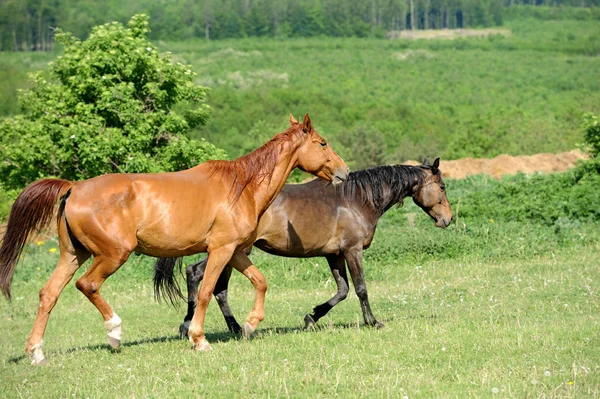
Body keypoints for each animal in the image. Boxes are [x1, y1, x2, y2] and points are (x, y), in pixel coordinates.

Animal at [0, 113, 346, 366]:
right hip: (112, 255)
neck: (242, 186)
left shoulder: (235, 251)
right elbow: (205, 292)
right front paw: (199, 339)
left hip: (74, 254)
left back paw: (37, 353)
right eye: (322, 143)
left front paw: (249, 325)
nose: (343, 172)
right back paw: (115, 332)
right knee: (88, 285)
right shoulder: (220, 251)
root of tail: (74, 187)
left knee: (49, 294)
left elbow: (260, 282)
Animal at [155, 158, 450, 336]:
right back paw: (191, 324)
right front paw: (372, 321)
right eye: (443, 186)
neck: (356, 199)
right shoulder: (352, 251)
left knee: (218, 290)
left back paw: (234, 327)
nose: (447, 219)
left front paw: (312, 316)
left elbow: (342, 290)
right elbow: (361, 288)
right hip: (232, 252)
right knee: (196, 274)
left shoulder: (334, 255)